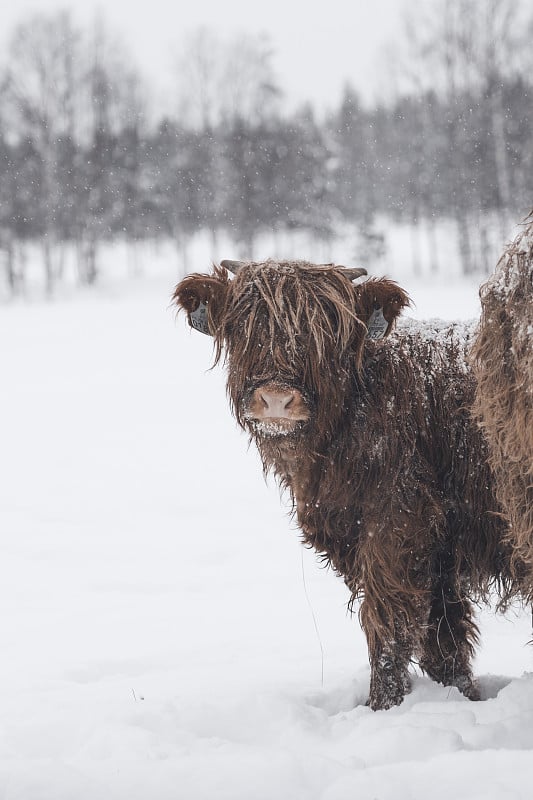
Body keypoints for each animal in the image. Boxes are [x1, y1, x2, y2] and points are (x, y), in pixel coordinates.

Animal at [172, 260, 516, 708]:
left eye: (327, 330)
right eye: (241, 325)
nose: (276, 399)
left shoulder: (398, 527)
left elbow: (389, 624)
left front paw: (383, 705)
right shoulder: (436, 550)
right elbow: (444, 638)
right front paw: (462, 697)